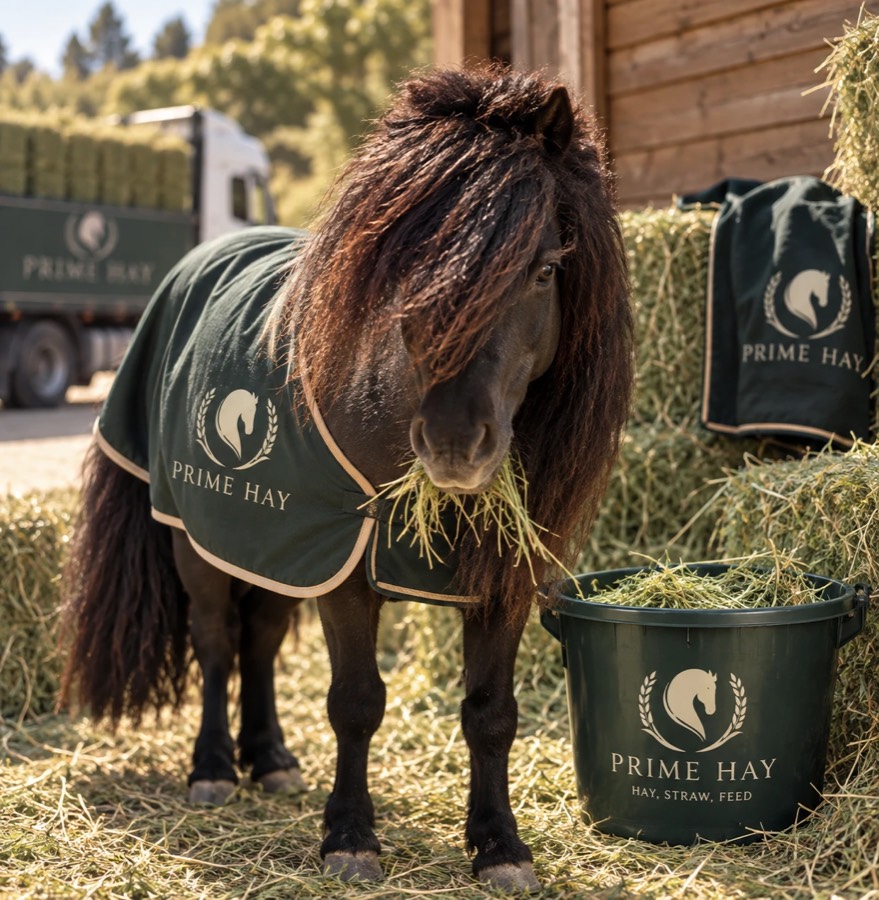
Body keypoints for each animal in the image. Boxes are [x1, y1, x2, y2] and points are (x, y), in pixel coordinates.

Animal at [59, 66, 633, 890]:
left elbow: (491, 712)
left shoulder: (499, 579)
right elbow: (356, 702)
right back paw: (213, 768)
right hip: (198, 540)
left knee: (260, 639)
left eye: (545, 270)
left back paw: (268, 757)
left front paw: (500, 845)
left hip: (270, 544)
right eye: (408, 270)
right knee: (215, 640)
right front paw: (350, 837)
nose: (454, 444)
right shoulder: (344, 567)